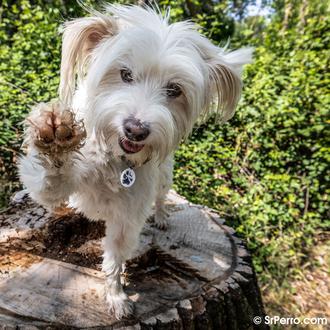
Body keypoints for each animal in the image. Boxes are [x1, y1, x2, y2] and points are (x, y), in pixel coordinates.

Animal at [18, 3, 253, 320]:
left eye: (174, 90)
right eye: (125, 74)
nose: (136, 129)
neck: (116, 159)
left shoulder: (127, 216)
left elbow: (115, 257)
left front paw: (116, 295)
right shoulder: (53, 187)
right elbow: (51, 179)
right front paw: (55, 137)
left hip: (164, 176)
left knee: (162, 196)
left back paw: (163, 216)